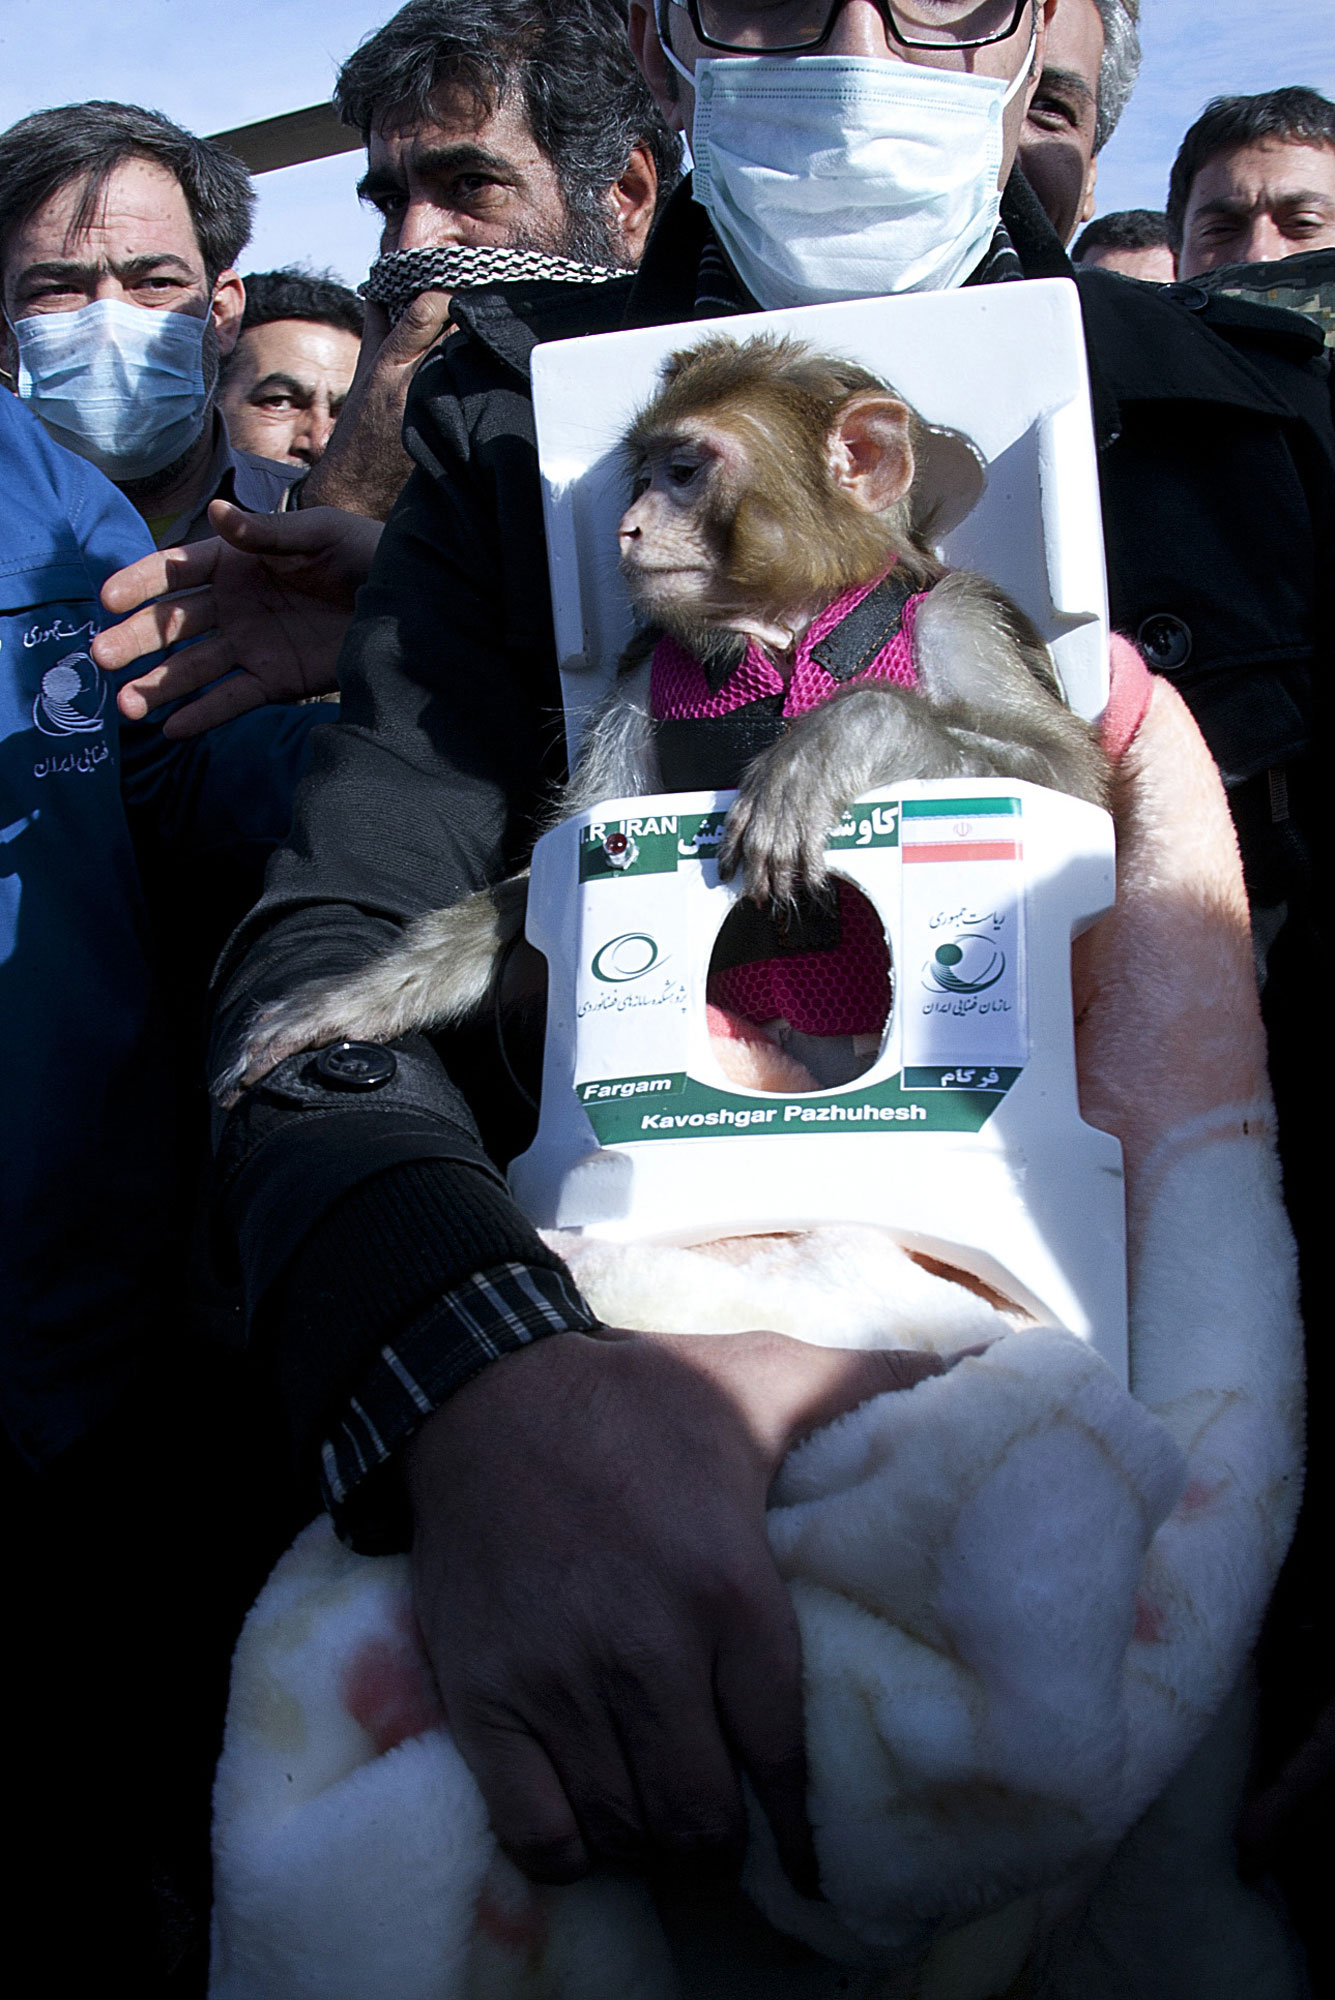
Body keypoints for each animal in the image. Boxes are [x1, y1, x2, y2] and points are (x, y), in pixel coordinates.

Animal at [216, 334, 1103, 1104]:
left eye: (681, 471)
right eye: (640, 475)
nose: (628, 526)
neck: (780, 631)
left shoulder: (959, 620)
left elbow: (1073, 789)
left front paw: (830, 743)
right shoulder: (640, 678)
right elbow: (560, 867)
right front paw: (360, 998)